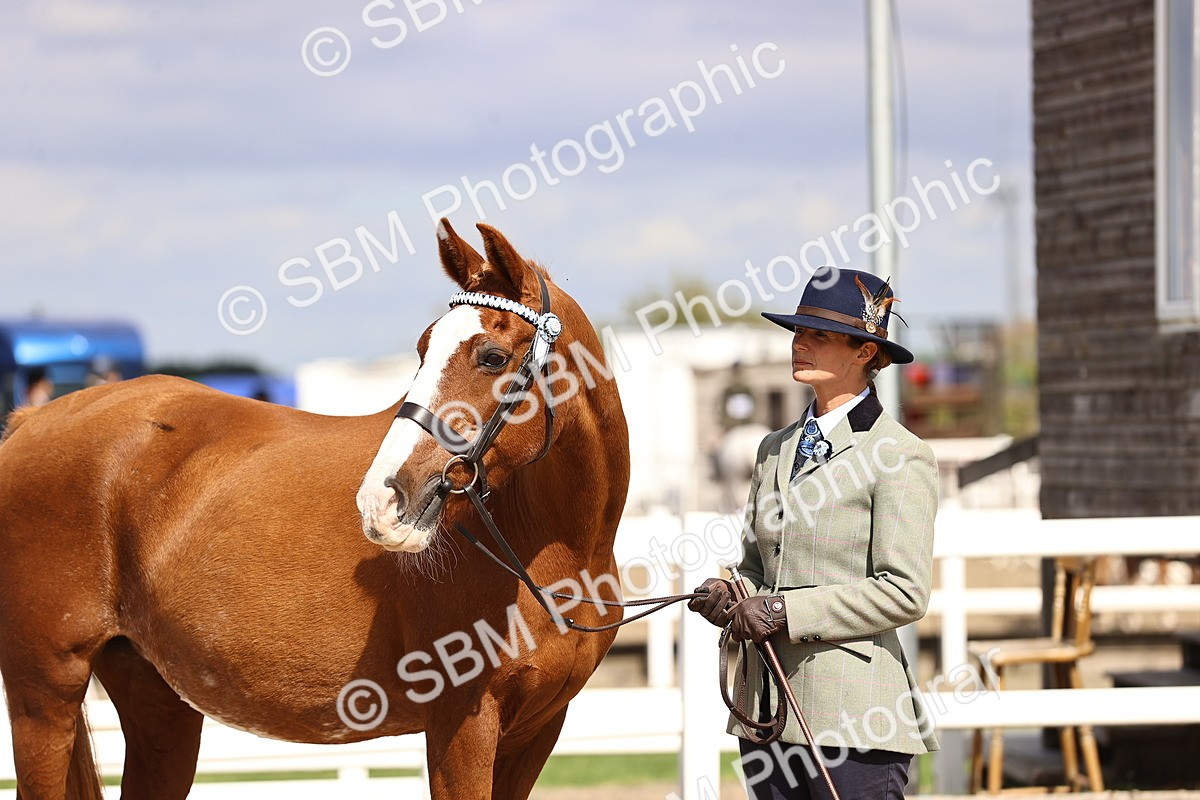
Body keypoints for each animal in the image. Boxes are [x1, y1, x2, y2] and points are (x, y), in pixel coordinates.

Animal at [0, 219, 631, 800]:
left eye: (493, 356)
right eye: (423, 348)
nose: (382, 498)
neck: (552, 551)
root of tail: (31, 421)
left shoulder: (537, 730)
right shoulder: (463, 726)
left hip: (158, 704)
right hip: (44, 698)